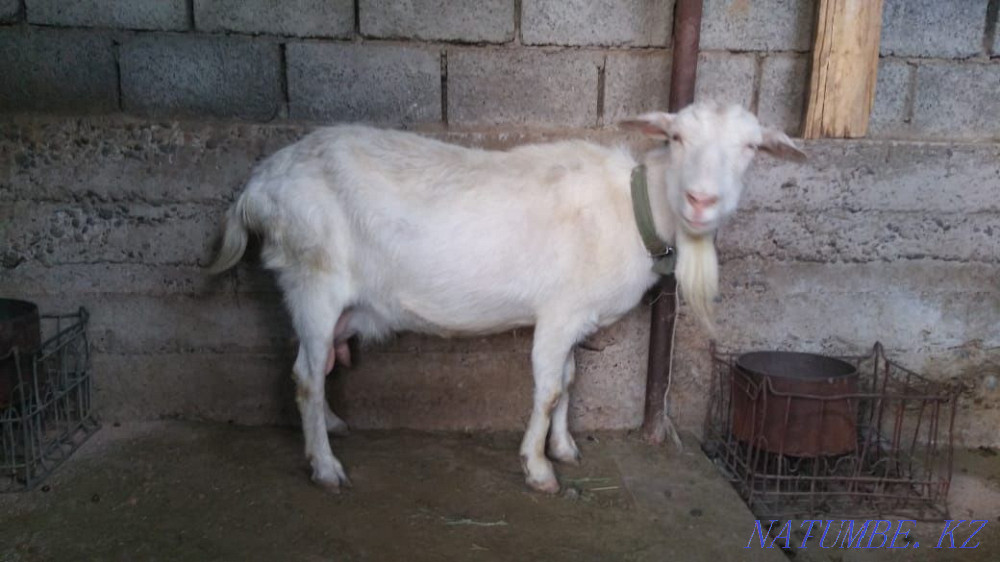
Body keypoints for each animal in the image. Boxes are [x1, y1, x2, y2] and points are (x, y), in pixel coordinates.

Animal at [208, 102, 806, 494]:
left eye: (751, 148)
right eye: (677, 138)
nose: (702, 200)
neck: (631, 209)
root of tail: (258, 187)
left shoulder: (575, 316)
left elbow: (568, 382)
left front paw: (564, 448)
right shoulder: (557, 314)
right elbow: (547, 389)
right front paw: (538, 470)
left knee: (320, 364)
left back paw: (329, 428)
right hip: (314, 279)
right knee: (305, 375)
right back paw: (326, 468)